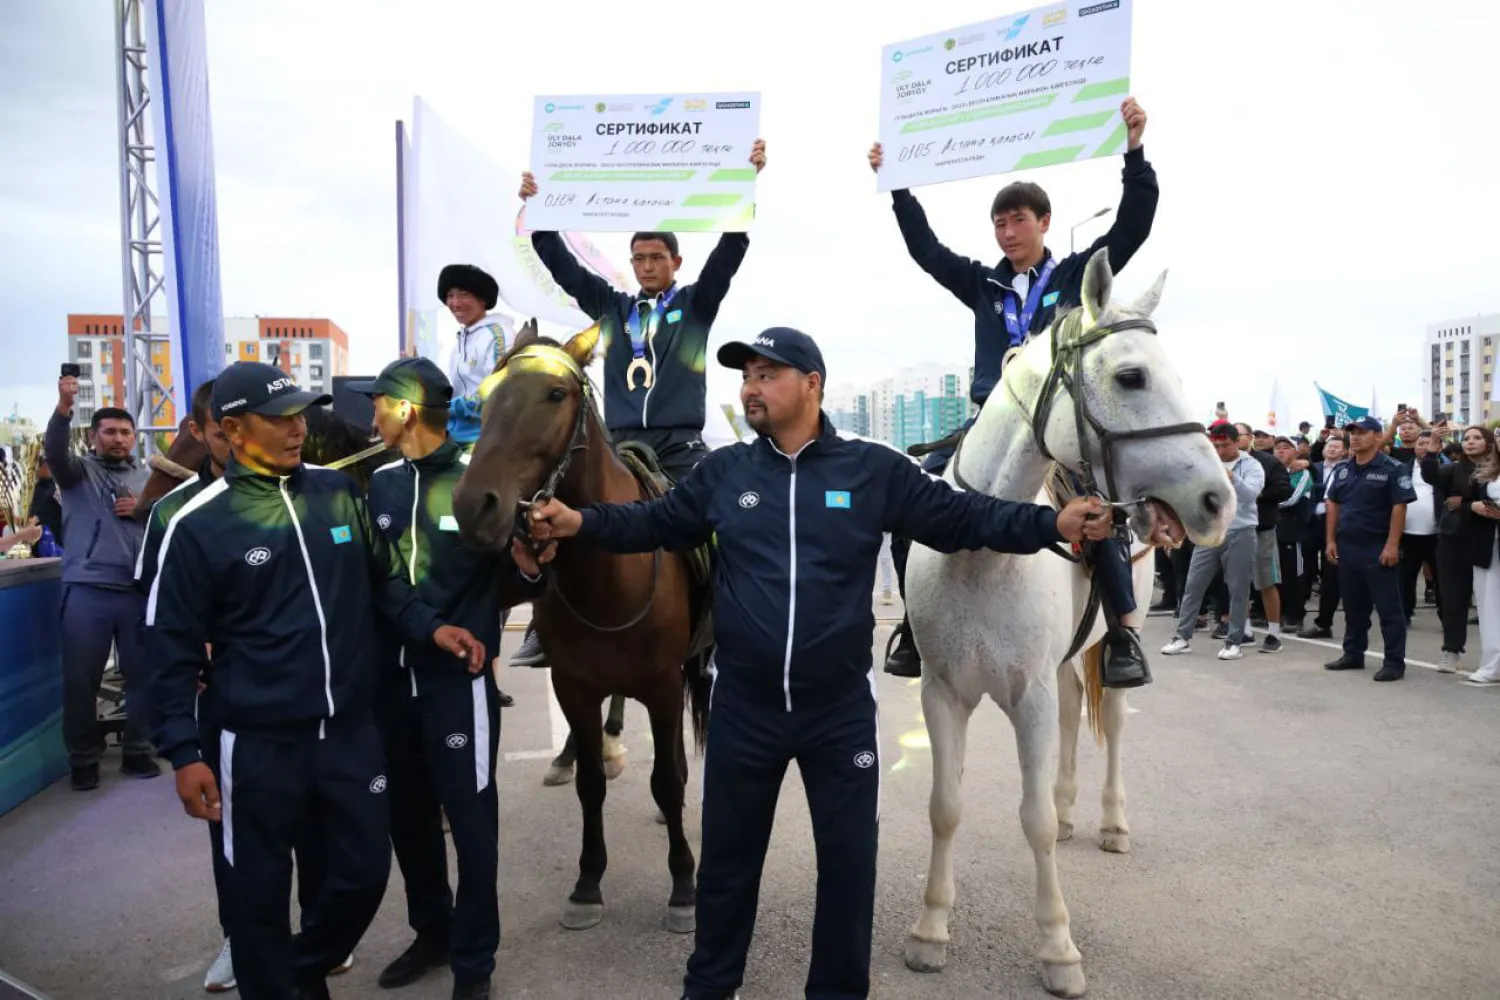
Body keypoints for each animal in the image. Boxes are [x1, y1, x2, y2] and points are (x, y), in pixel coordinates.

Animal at [450, 322, 708, 941]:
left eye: (555, 394)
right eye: (486, 396)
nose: (474, 507)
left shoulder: (663, 685)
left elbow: (667, 780)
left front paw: (683, 886)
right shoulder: (573, 685)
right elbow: (592, 783)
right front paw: (588, 884)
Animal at [894, 245, 1236, 995]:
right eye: (1131, 376)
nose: (1217, 501)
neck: (984, 547)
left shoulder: (1029, 698)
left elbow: (1035, 822)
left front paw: (1057, 948)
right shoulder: (943, 694)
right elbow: (944, 807)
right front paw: (929, 931)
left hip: (1107, 641)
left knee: (1109, 720)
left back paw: (1109, 822)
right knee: (1077, 711)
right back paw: (1076, 805)